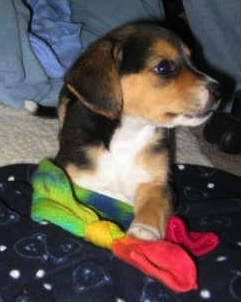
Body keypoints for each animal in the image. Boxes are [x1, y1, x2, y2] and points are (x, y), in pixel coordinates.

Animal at [54, 22, 220, 241]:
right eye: (164, 67)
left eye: (192, 61)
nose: (220, 91)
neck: (128, 133)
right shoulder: (72, 173)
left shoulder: (159, 183)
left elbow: (153, 202)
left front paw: (144, 230)